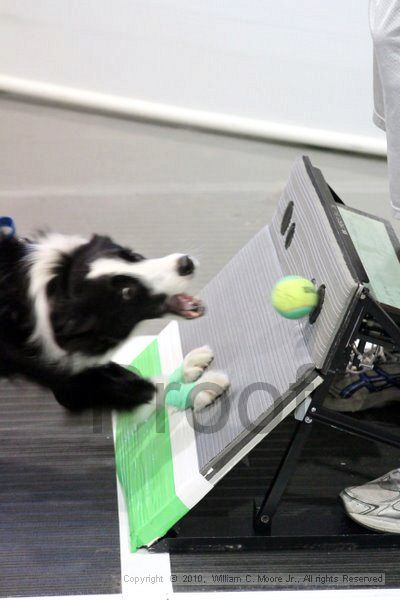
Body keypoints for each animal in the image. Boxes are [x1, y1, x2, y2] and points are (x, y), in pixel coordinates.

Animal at [0, 231, 228, 412]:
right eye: (127, 292)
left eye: (134, 257)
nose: (186, 264)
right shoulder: (65, 384)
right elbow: (143, 389)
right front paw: (199, 390)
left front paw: (186, 369)